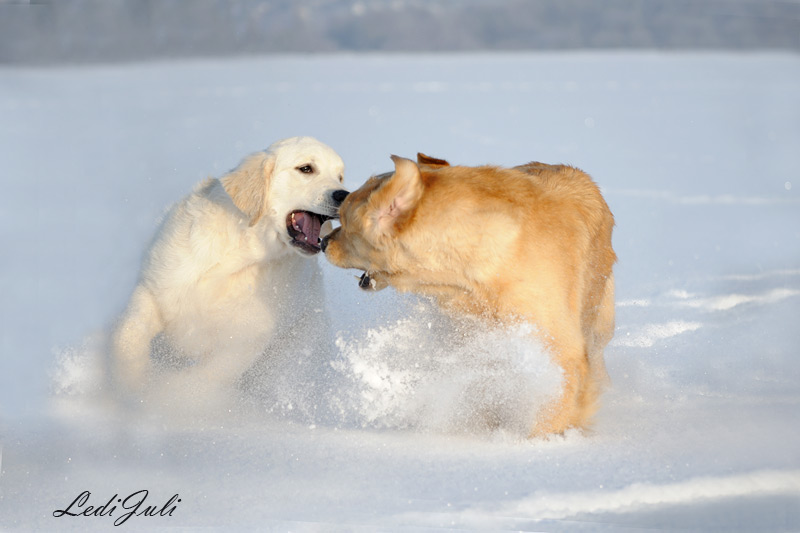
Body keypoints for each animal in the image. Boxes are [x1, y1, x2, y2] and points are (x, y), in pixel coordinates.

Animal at [111, 135, 348, 396]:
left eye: (340, 177)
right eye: (306, 168)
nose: (344, 195)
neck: (244, 251)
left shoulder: (242, 343)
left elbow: (196, 381)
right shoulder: (157, 287)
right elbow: (128, 336)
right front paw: (132, 385)